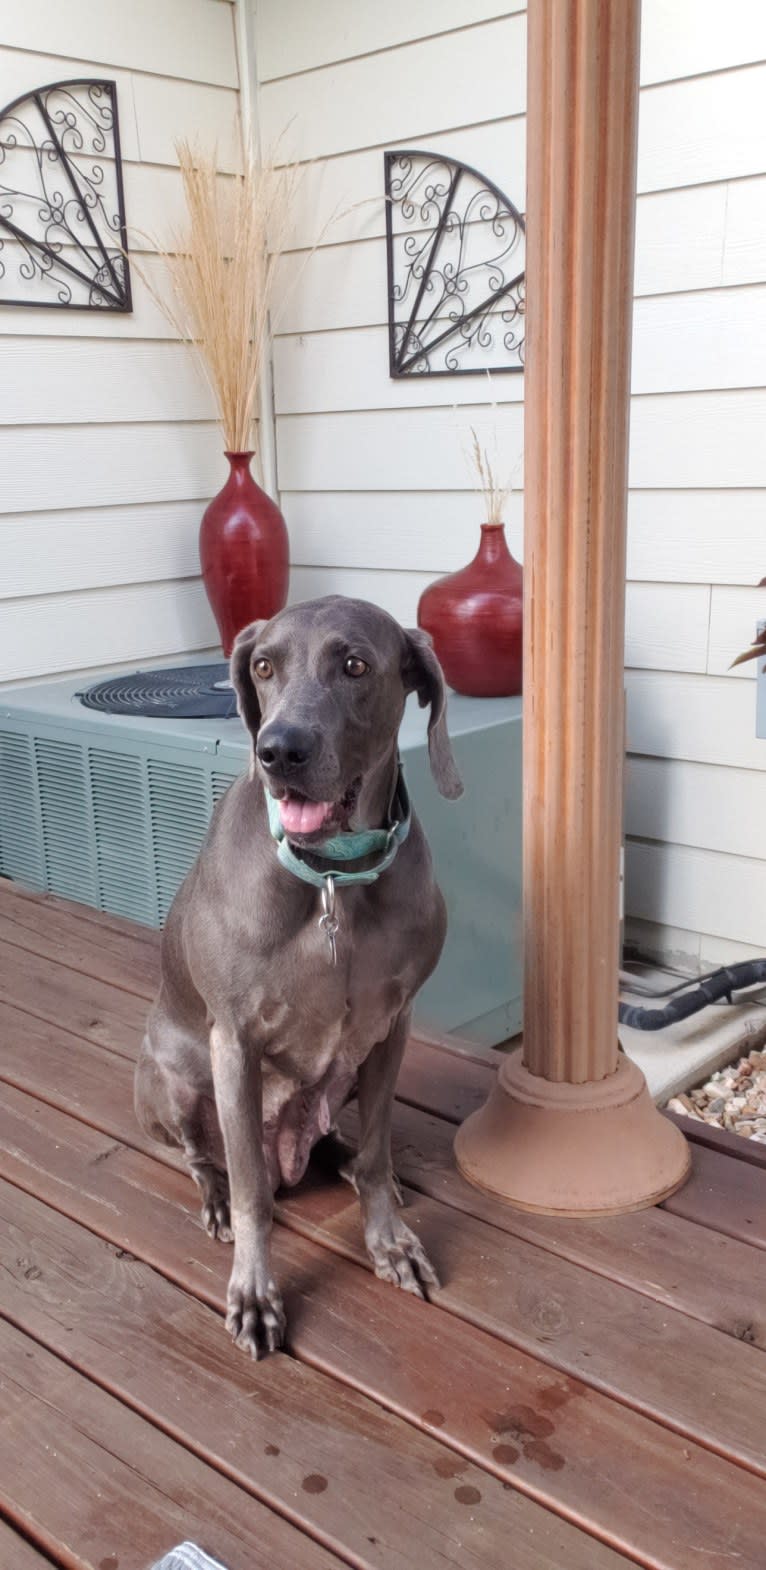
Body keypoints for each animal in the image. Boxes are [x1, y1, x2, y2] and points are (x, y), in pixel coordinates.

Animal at [134, 593, 464, 1356]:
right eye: (262, 666)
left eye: (355, 666)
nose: (279, 750)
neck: (334, 881)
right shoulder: (234, 1041)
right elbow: (252, 1192)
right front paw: (255, 1293)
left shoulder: (393, 1026)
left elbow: (376, 1152)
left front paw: (390, 1239)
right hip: (170, 1071)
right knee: (202, 1156)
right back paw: (215, 1199)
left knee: (344, 1141)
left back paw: (342, 1154)